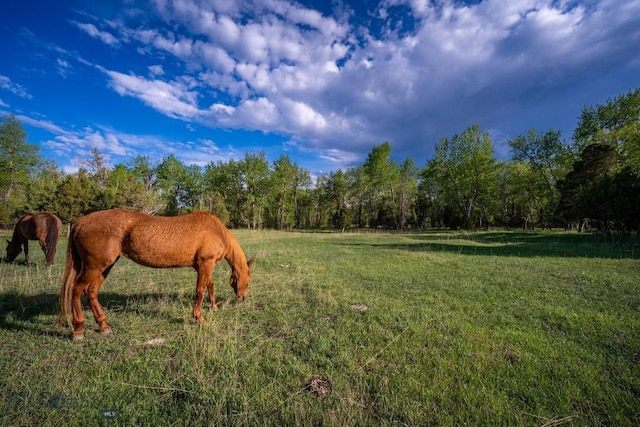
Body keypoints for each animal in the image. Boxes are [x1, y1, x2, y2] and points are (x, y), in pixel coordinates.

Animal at [58, 208, 252, 342]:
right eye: (249, 280)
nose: (243, 298)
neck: (216, 230)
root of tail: (79, 222)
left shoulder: (202, 266)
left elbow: (209, 286)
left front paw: (213, 306)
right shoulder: (206, 263)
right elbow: (200, 291)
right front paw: (199, 317)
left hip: (103, 267)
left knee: (91, 292)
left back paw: (104, 326)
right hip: (94, 267)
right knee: (76, 290)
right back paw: (79, 329)